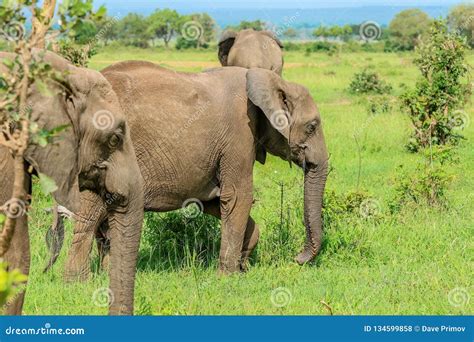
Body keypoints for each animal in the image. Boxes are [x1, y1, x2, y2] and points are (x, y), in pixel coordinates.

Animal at [50, 61, 328, 280]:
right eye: (312, 126)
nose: (297, 259)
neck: (269, 80)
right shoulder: (239, 134)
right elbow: (238, 197)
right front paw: (229, 276)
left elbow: (216, 200)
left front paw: (243, 263)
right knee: (91, 214)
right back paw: (77, 283)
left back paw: (107, 275)